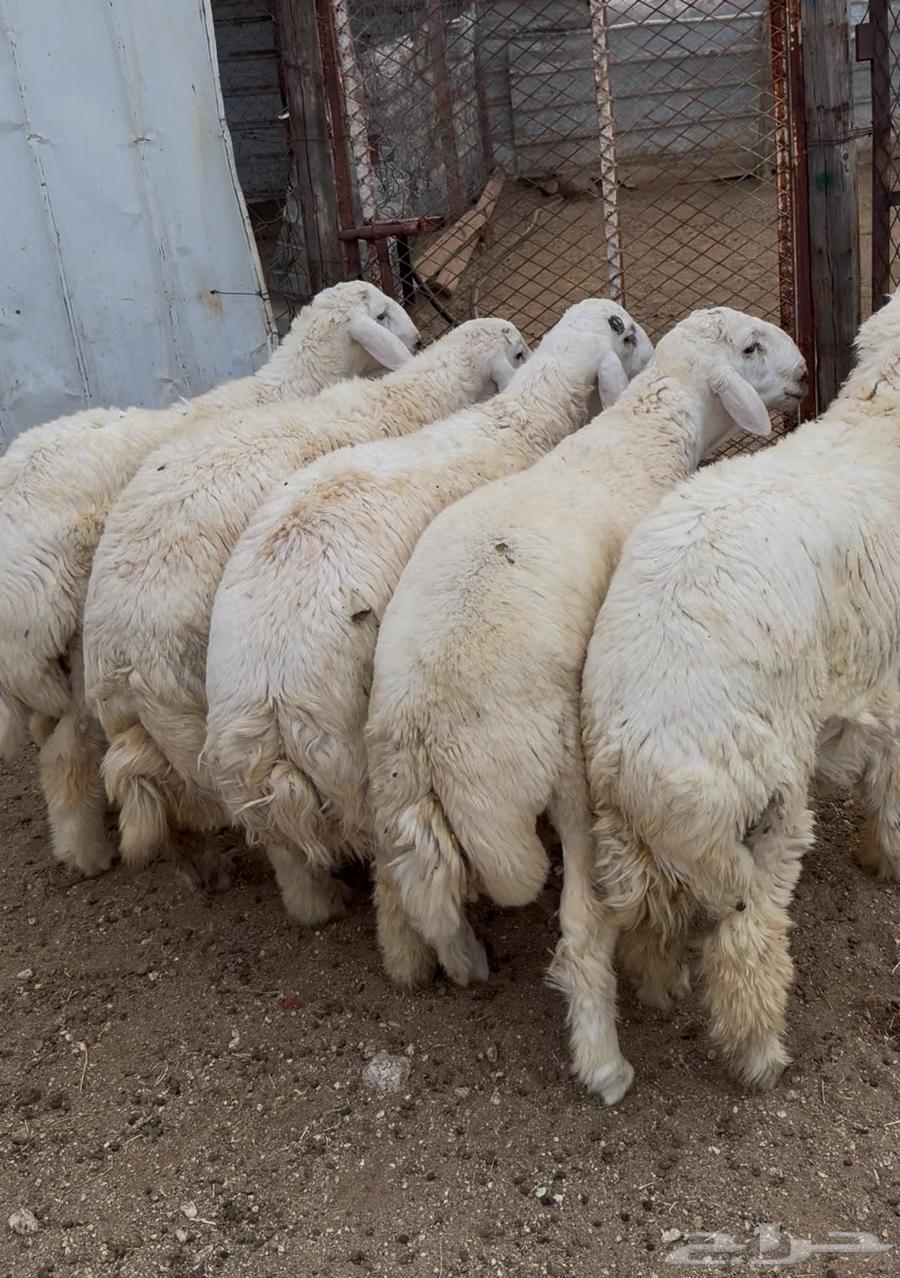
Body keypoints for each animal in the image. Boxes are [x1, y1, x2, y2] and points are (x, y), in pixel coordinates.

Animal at [201, 298, 652, 924]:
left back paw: (321, 903)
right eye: (626, 334)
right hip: (351, 760)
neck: (513, 422)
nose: (652, 357)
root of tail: (269, 699)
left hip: (247, 775)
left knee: (288, 861)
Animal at [366, 307, 807, 1105]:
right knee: (578, 932)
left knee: (403, 877)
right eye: (752, 347)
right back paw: (605, 1064)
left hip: (388, 780)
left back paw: (436, 960)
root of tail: (428, 727)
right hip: (563, 776)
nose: (803, 377)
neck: (635, 443)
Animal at [579, 293, 900, 1097]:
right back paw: (760, 1056)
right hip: (764, 809)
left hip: (632, 843)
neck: (880, 423)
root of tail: (640, 762)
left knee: (649, 926)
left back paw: (660, 991)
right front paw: (888, 855)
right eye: (753, 348)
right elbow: (891, 781)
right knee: (747, 947)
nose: (805, 372)